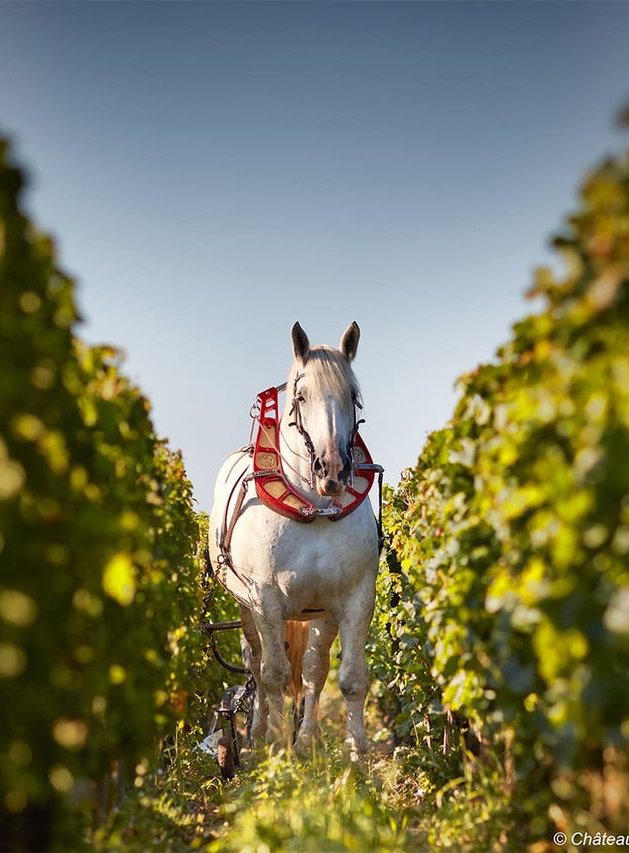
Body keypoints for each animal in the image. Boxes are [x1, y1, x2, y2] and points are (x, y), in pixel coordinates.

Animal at [209, 320, 380, 752]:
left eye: (353, 397)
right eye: (301, 397)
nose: (332, 470)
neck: (314, 508)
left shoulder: (355, 598)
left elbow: (348, 679)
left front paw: (357, 753)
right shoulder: (264, 598)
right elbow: (272, 673)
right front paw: (274, 747)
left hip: (320, 612)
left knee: (313, 668)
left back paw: (304, 739)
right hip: (245, 604)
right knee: (256, 665)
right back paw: (255, 736)